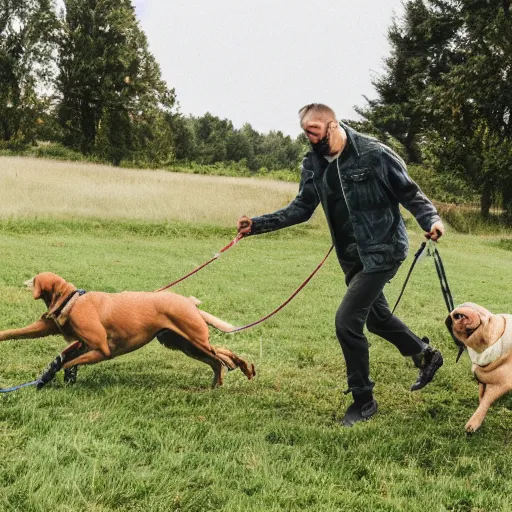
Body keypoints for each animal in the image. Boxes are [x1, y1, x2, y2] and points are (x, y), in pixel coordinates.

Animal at [0, 272, 256, 388]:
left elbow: (69, 363)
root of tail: (190, 304)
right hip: (182, 344)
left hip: (194, 340)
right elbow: (17, 334)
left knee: (221, 355)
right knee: (217, 359)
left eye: (34, 280)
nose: (26, 281)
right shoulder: (77, 341)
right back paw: (218, 382)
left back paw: (241, 366)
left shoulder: (102, 348)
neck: (72, 300)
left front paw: (63, 374)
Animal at [444, 302, 512, 434]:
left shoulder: (500, 385)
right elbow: (481, 398)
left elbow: (485, 401)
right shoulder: (482, 382)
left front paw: (472, 425)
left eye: (459, 317)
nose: (451, 318)